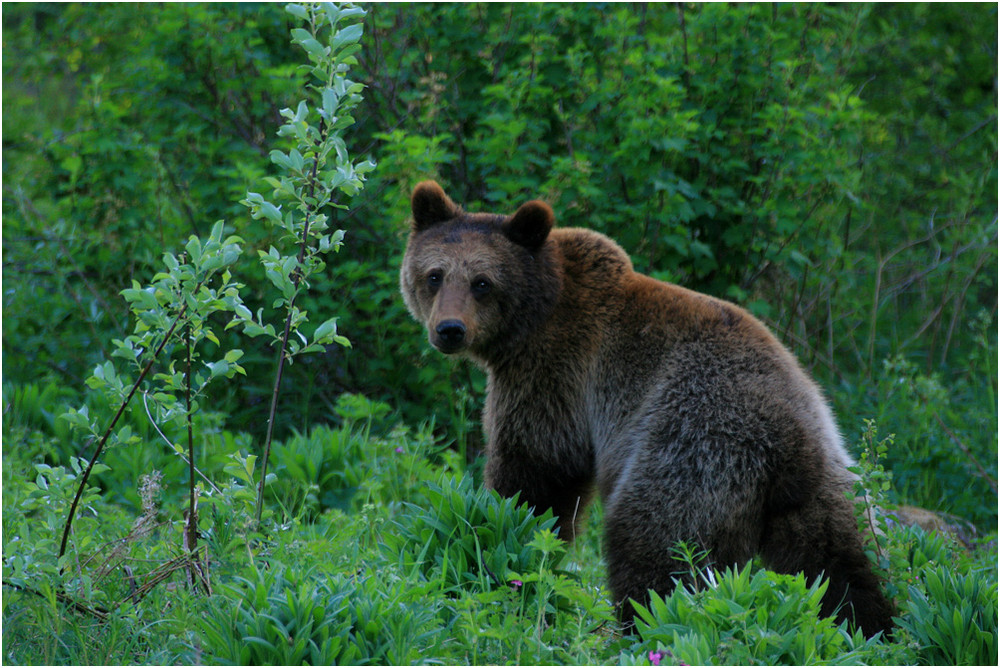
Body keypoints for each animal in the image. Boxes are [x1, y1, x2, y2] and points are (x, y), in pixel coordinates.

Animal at [398, 181, 900, 636]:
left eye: (482, 282)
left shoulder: (556, 373)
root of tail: (789, 442)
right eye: (434, 274)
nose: (449, 329)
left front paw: (498, 529)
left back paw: (644, 627)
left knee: (655, 547)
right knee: (847, 563)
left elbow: (538, 468)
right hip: (833, 483)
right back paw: (874, 629)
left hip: (693, 451)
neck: (536, 313)